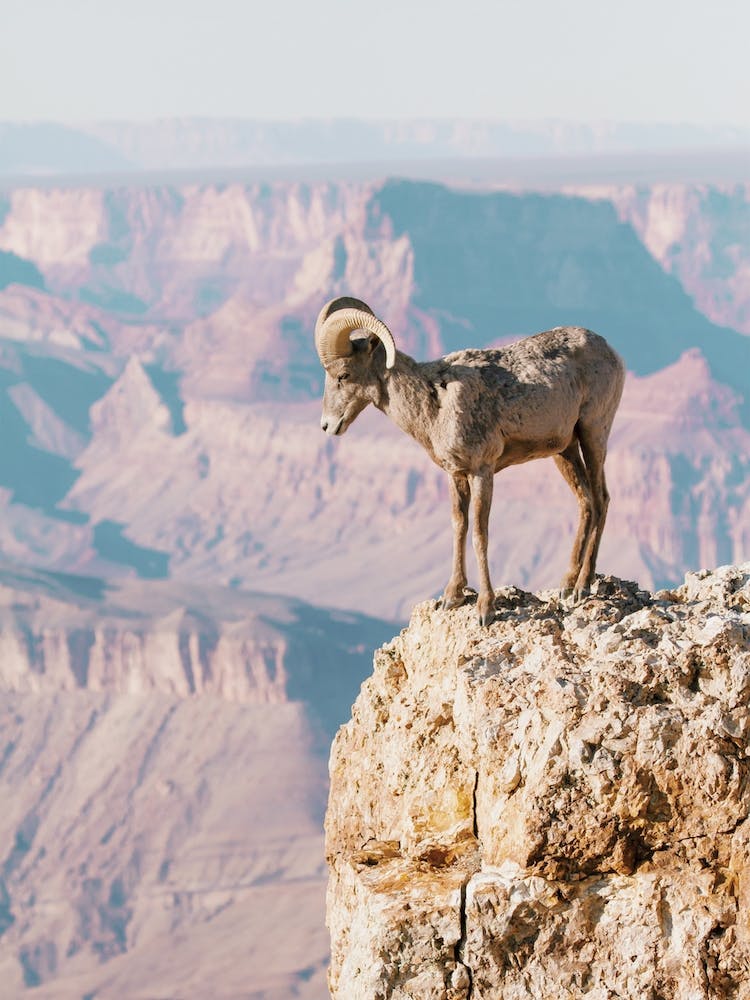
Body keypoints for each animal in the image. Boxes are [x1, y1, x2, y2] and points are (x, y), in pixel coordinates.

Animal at [315, 296, 625, 626]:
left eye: (343, 375)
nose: (328, 426)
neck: (434, 403)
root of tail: (611, 351)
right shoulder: (456, 475)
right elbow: (458, 526)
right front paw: (452, 596)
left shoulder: (482, 471)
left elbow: (479, 533)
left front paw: (485, 609)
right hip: (564, 451)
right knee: (586, 501)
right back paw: (567, 584)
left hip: (593, 433)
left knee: (601, 499)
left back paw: (582, 586)